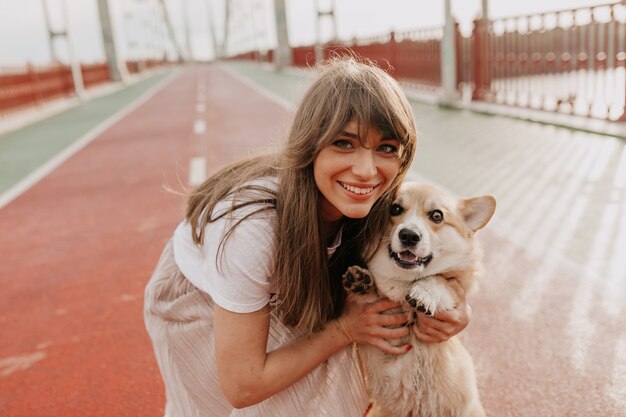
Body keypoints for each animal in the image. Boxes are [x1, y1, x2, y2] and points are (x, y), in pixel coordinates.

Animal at [342, 182, 492, 416]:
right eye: (394, 209)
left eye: (437, 215)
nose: (409, 235)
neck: (403, 282)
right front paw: (361, 283)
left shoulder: (453, 284)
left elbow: (437, 279)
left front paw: (424, 293)